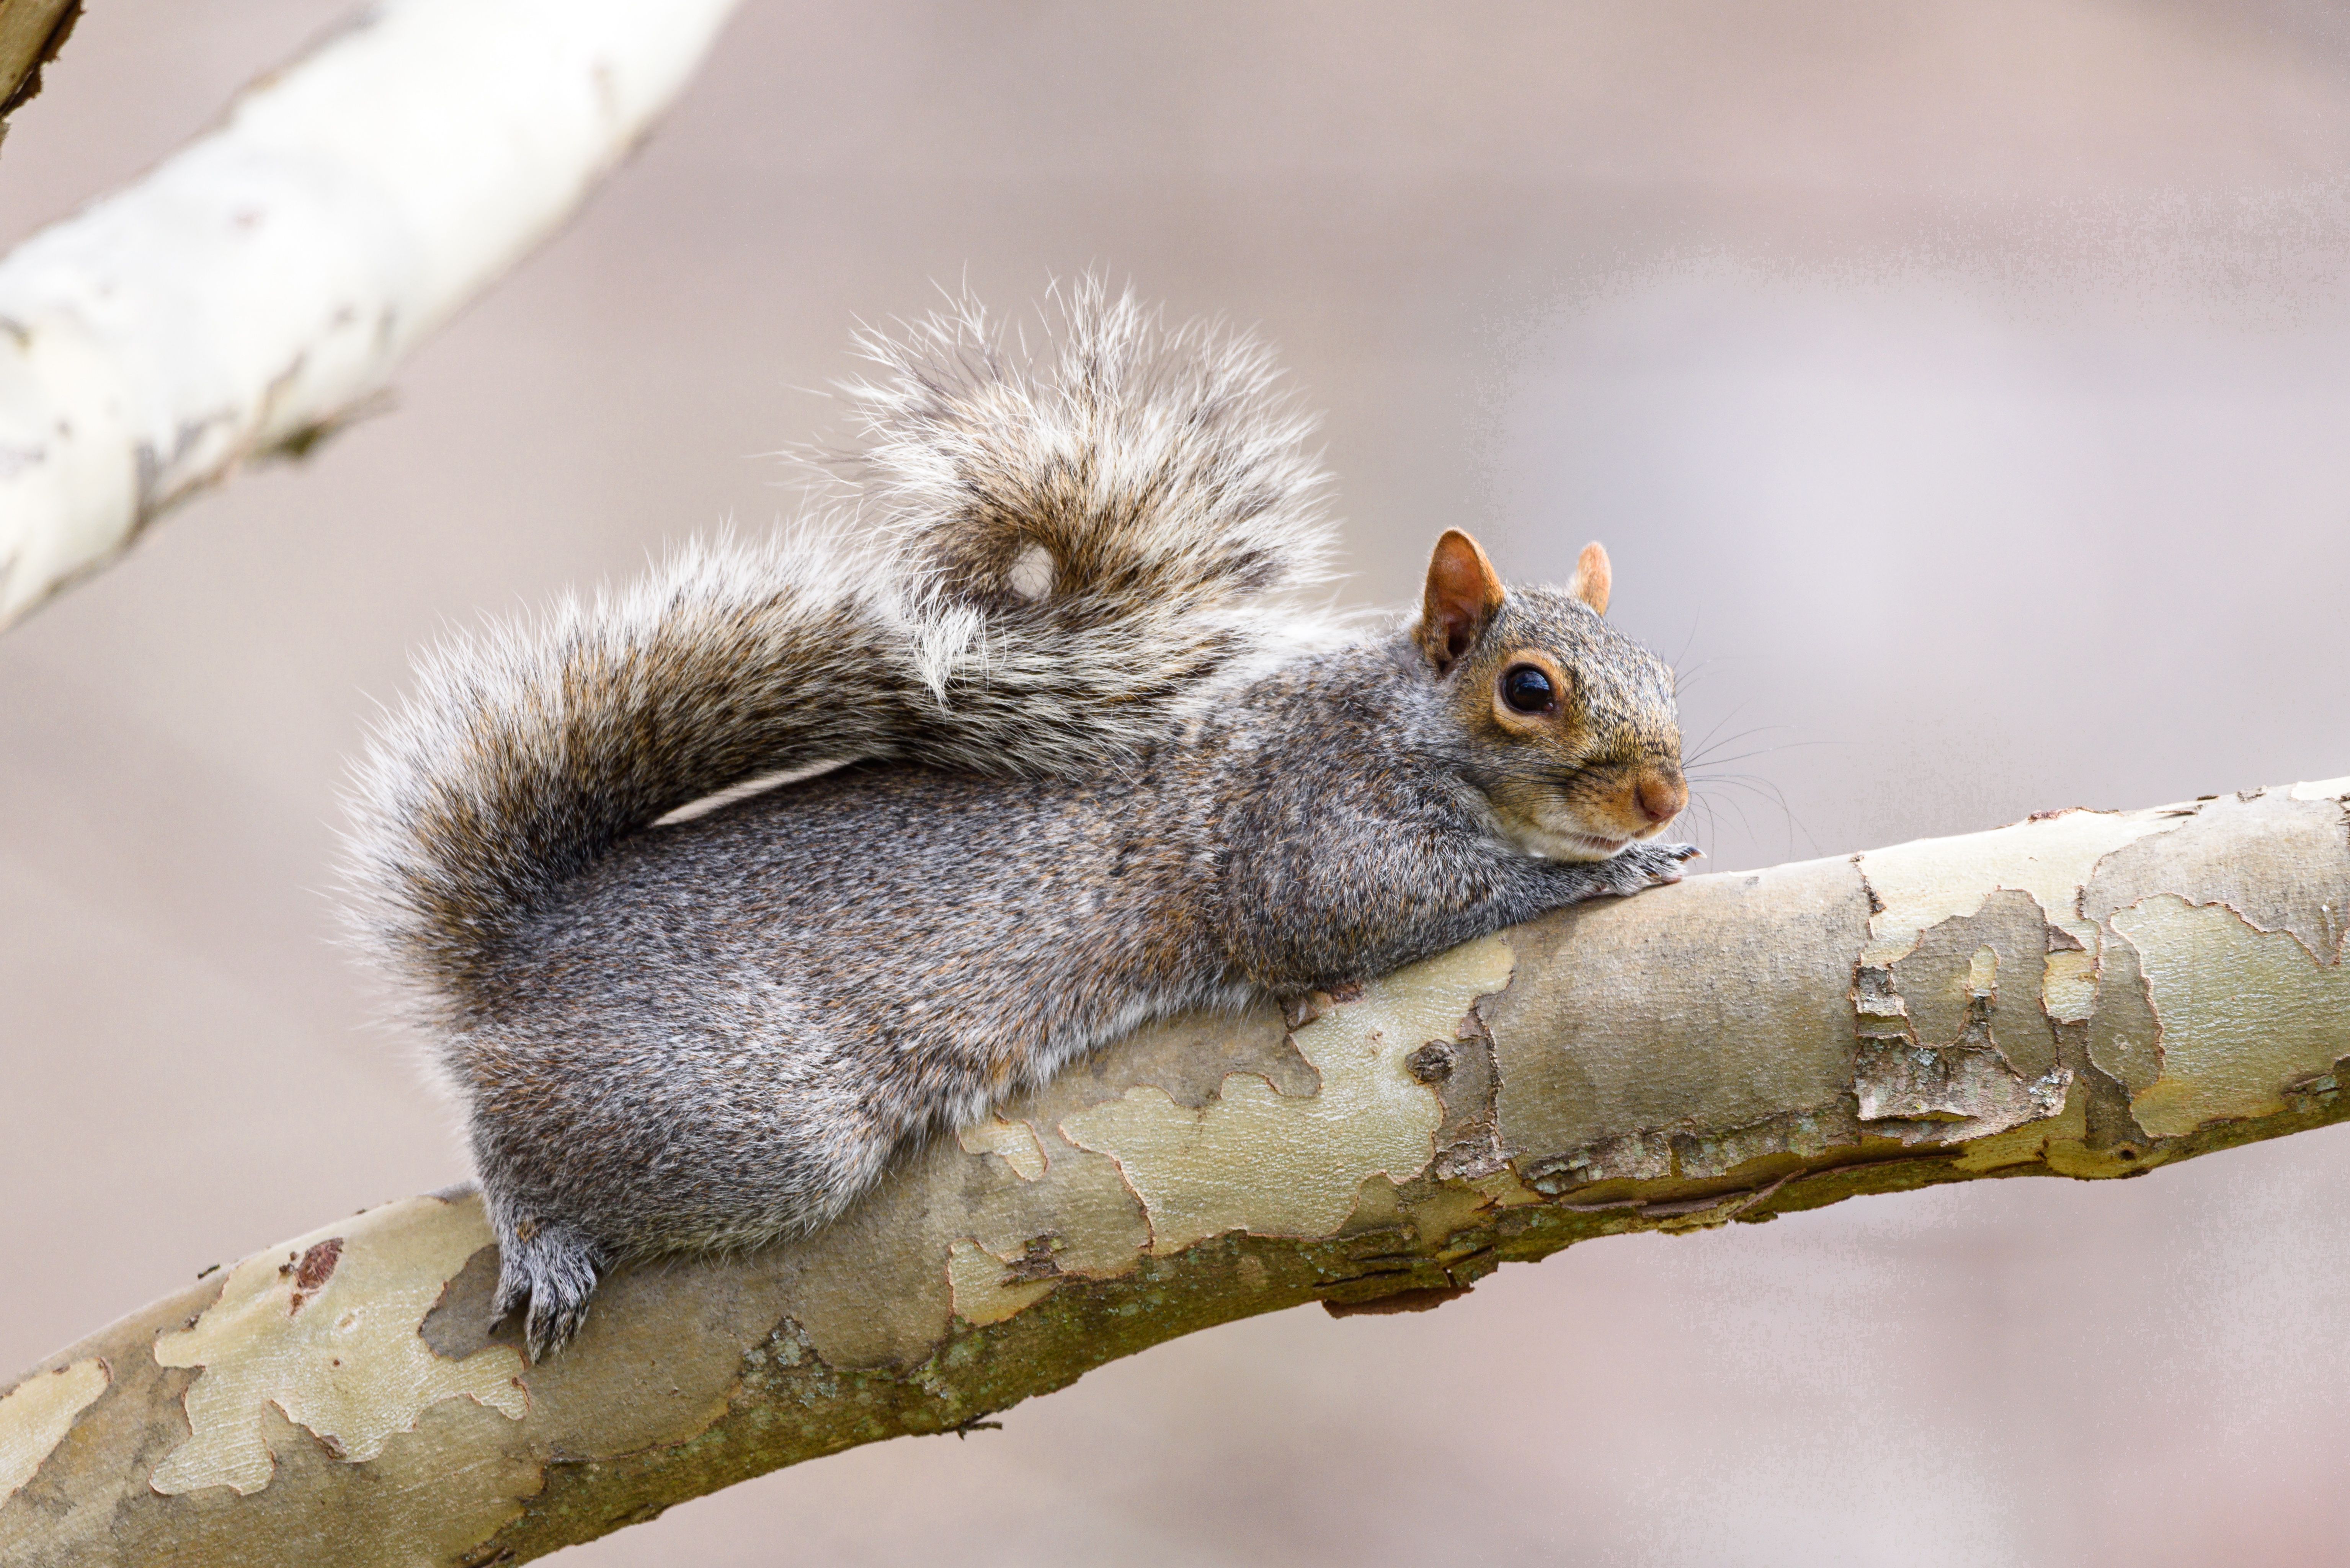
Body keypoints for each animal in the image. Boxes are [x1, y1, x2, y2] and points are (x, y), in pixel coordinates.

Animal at [344, 282, 1695, 1358]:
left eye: (1666, 672)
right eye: (1528, 690)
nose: (1665, 792)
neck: (1392, 722)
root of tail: (518, 959)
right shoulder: (1309, 832)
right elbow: (1382, 906)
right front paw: (1608, 873)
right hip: (746, 1115)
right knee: (512, 1133)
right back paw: (542, 1235)